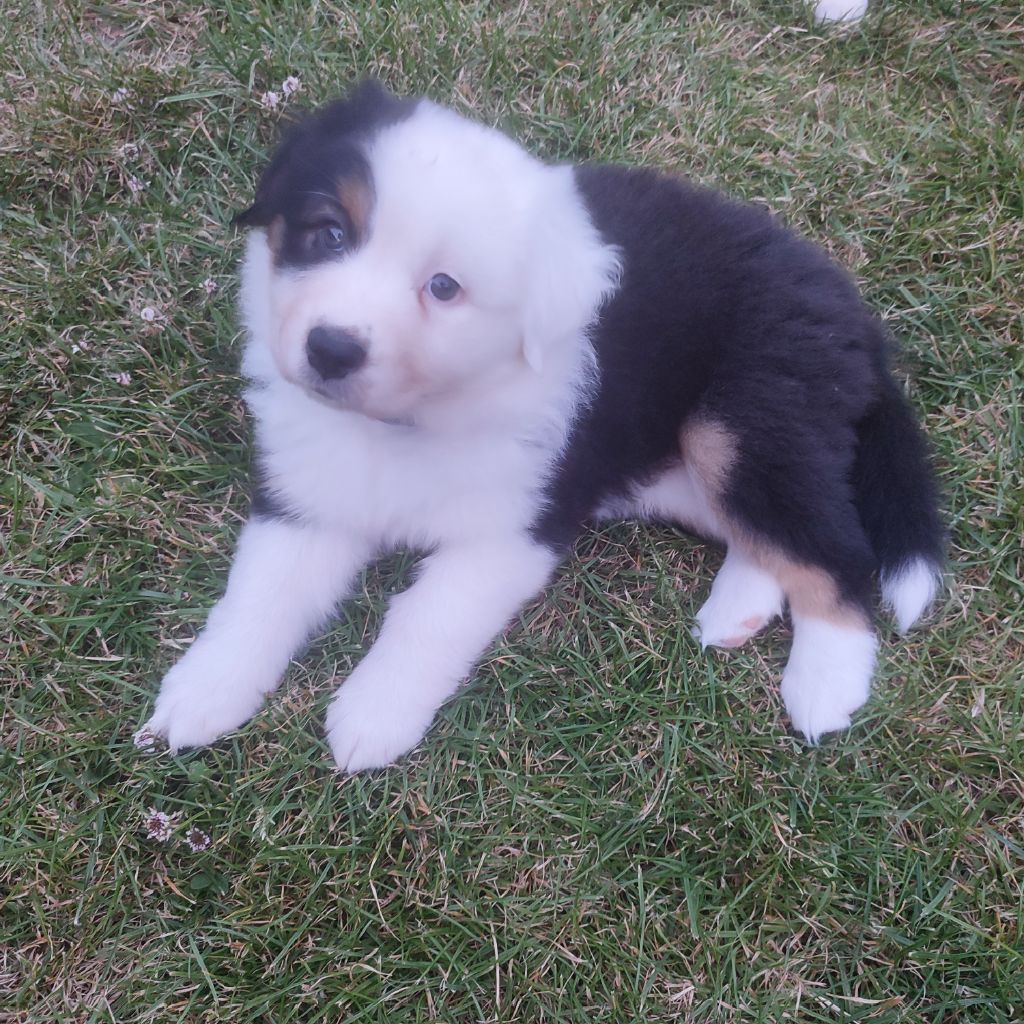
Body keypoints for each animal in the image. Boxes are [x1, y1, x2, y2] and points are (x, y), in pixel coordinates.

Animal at [142, 81, 942, 771]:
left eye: (444, 287)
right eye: (328, 233)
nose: (330, 349)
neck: (403, 422)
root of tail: (856, 317)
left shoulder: (514, 528)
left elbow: (427, 614)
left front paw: (372, 716)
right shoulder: (306, 498)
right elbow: (260, 595)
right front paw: (202, 693)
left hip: (745, 418)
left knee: (837, 550)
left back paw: (825, 685)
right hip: (659, 462)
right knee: (767, 533)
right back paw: (736, 612)